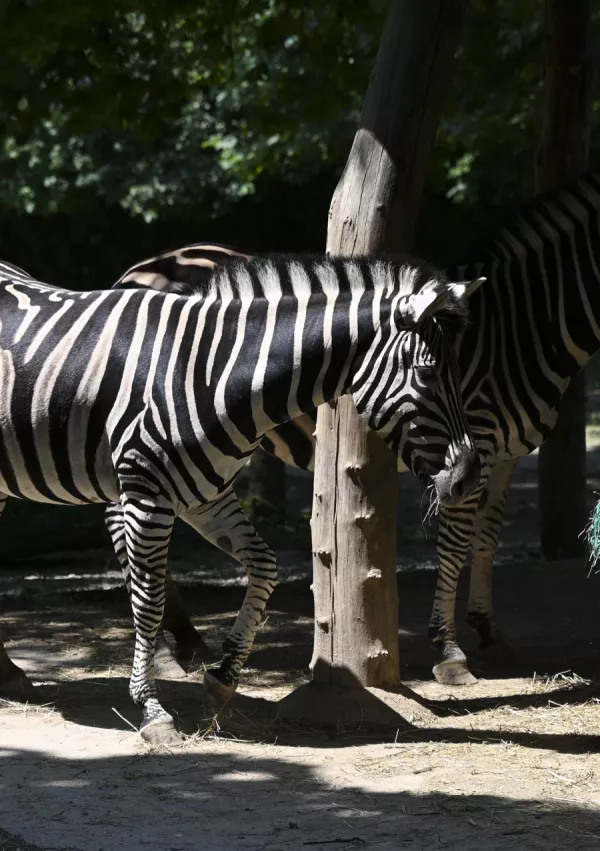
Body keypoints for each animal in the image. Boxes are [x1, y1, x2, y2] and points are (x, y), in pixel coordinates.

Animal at [0, 256, 480, 744]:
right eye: (427, 374)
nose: (468, 479)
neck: (211, 374)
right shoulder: (146, 494)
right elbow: (149, 601)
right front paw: (152, 711)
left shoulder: (205, 497)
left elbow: (265, 567)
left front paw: (222, 678)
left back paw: (10, 677)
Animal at [113, 173, 600, 684]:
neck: (520, 328)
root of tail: (140, 269)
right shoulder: (478, 443)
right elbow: (456, 540)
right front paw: (449, 651)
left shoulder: (504, 453)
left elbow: (487, 535)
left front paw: (488, 631)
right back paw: (165, 651)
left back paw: (185, 638)